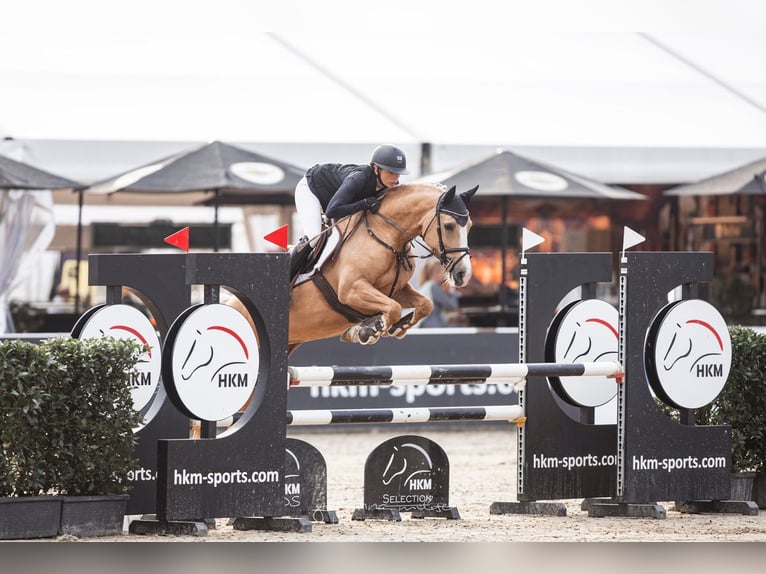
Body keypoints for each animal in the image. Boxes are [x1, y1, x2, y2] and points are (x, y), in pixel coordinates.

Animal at [231, 183, 476, 356]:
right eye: (449, 226)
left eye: (470, 226)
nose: (463, 274)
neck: (385, 235)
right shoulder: (351, 290)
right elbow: (394, 308)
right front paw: (368, 330)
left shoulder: (395, 289)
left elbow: (424, 304)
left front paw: (397, 327)